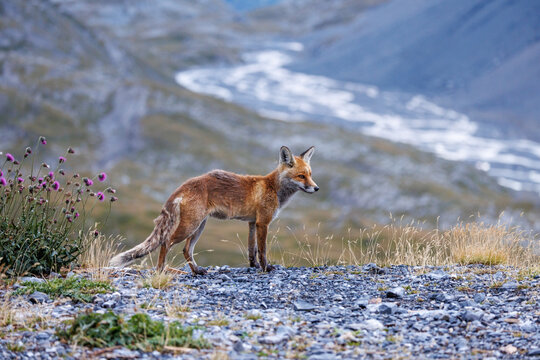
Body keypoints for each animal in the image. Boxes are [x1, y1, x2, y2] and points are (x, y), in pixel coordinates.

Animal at [111, 145, 318, 274]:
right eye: (301, 176)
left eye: (310, 174)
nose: (316, 188)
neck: (273, 188)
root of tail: (185, 184)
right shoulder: (263, 223)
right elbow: (263, 250)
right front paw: (266, 269)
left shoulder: (252, 223)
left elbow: (252, 250)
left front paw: (253, 267)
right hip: (190, 226)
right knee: (166, 242)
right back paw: (161, 270)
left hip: (199, 226)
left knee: (186, 250)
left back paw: (197, 271)